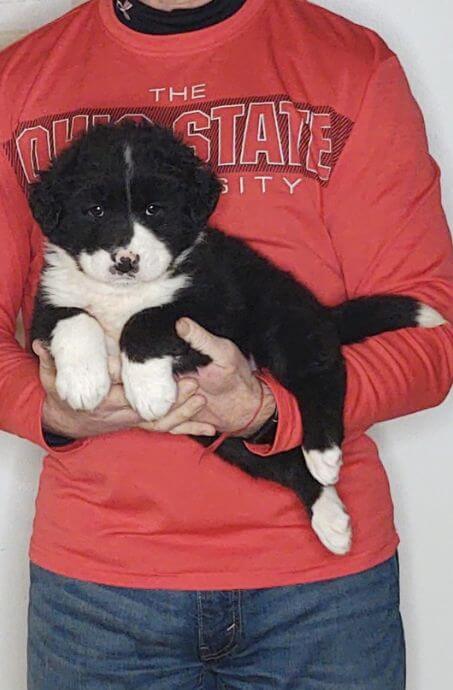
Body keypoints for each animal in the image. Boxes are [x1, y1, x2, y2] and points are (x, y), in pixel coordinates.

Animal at [30, 122, 446, 552]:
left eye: (154, 210)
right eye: (94, 210)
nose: (125, 262)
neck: (122, 293)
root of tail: (320, 309)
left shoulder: (210, 304)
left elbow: (146, 318)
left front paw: (146, 390)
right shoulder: (46, 306)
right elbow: (75, 318)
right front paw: (83, 382)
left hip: (282, 324)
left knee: (322, 373)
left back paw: (324, 454)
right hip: (222, 434)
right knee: (278, 462)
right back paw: (331, 518)